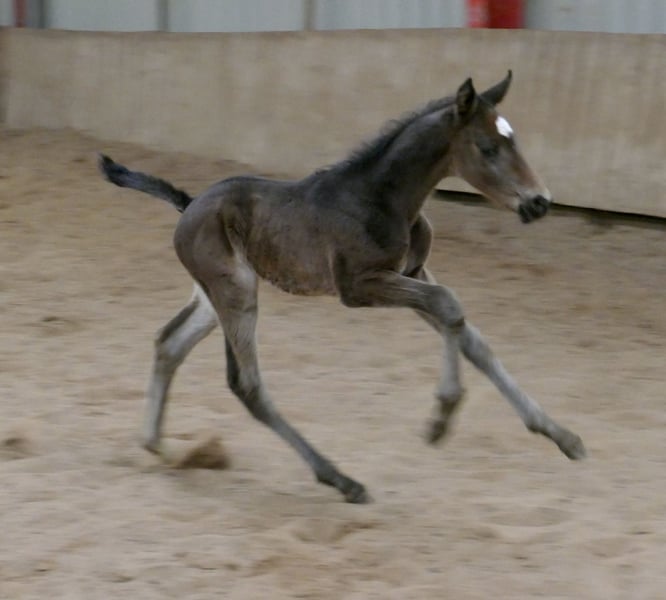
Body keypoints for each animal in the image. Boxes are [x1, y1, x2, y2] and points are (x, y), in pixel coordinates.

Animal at [99, 71, 585, 503]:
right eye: (487, 148)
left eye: (515, 141)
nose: (539, 202)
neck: (381, 197)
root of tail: (188, 205)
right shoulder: (359, 286)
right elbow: (450, 306)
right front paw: (442, 417)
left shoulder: (412, 273)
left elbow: (470, 335)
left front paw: (560, 435)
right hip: (236, 292)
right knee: (247, 384)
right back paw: (341, 480)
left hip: (214, 296)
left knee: (169, 343)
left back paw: (158, 445)